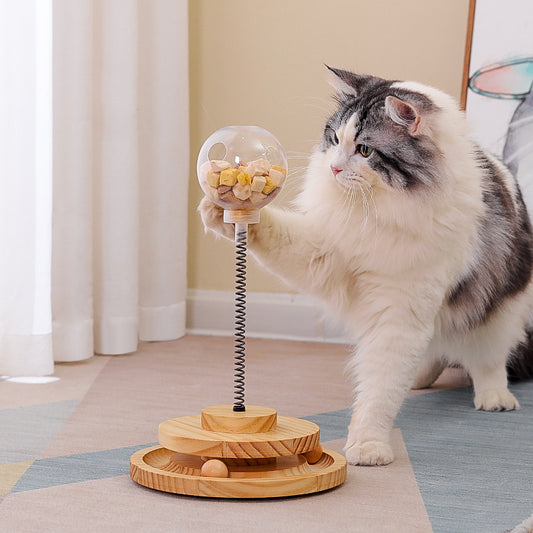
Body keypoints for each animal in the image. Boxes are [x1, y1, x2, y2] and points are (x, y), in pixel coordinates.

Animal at [197, 67, 532, 466]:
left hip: (500, 312)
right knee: (437, 351)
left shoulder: (401, 314)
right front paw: (223, 208)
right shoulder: (324, 253)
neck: (375, 211)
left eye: (365, 150)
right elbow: (276, 233)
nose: (333, 167)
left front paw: (368, 446)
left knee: (486, 359)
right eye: (334, 138)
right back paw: (420, 380)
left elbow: (379, 392)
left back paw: (495, 398)